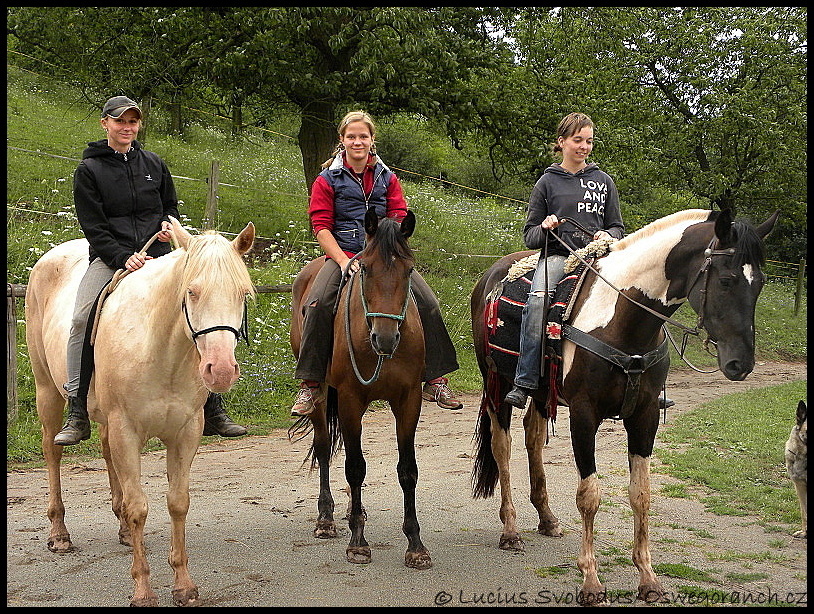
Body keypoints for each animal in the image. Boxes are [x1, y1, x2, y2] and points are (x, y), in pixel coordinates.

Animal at [26, 217, 255, 608]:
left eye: (242, 293)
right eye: (192, 292)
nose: (221, 370)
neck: (161, 350)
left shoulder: (185, 433)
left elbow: (177, 503)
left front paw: (184, 585)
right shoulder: (127, 431)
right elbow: (139, 507)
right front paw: (143, 590)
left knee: (107, 457)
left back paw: (120, 530)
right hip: (48, 394)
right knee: (52, 453)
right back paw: (59, 534)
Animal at [292, 209, 434, 572]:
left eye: (408, 269)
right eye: (366, 268)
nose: (385, 338)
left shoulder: (408, 400)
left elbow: (408, 471)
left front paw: (415, 545)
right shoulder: (350, 399)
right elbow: (355, 467)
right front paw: (358, 543)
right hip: (323, 396)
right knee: (324, 449)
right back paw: (326, 518)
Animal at [472, 209, 776, 604]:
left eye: (761, 283)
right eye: (726, 280)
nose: (741, 364)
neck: (622, 320)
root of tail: (491, 275)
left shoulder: (645, 417)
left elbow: (641, 494)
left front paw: (648, 578)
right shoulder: (584, 417)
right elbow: (589, 495)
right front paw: (590, 581)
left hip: (540, 393)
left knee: (533, 439)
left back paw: (547, 518)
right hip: (497, 384)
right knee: (502, 447)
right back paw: (510, 530)